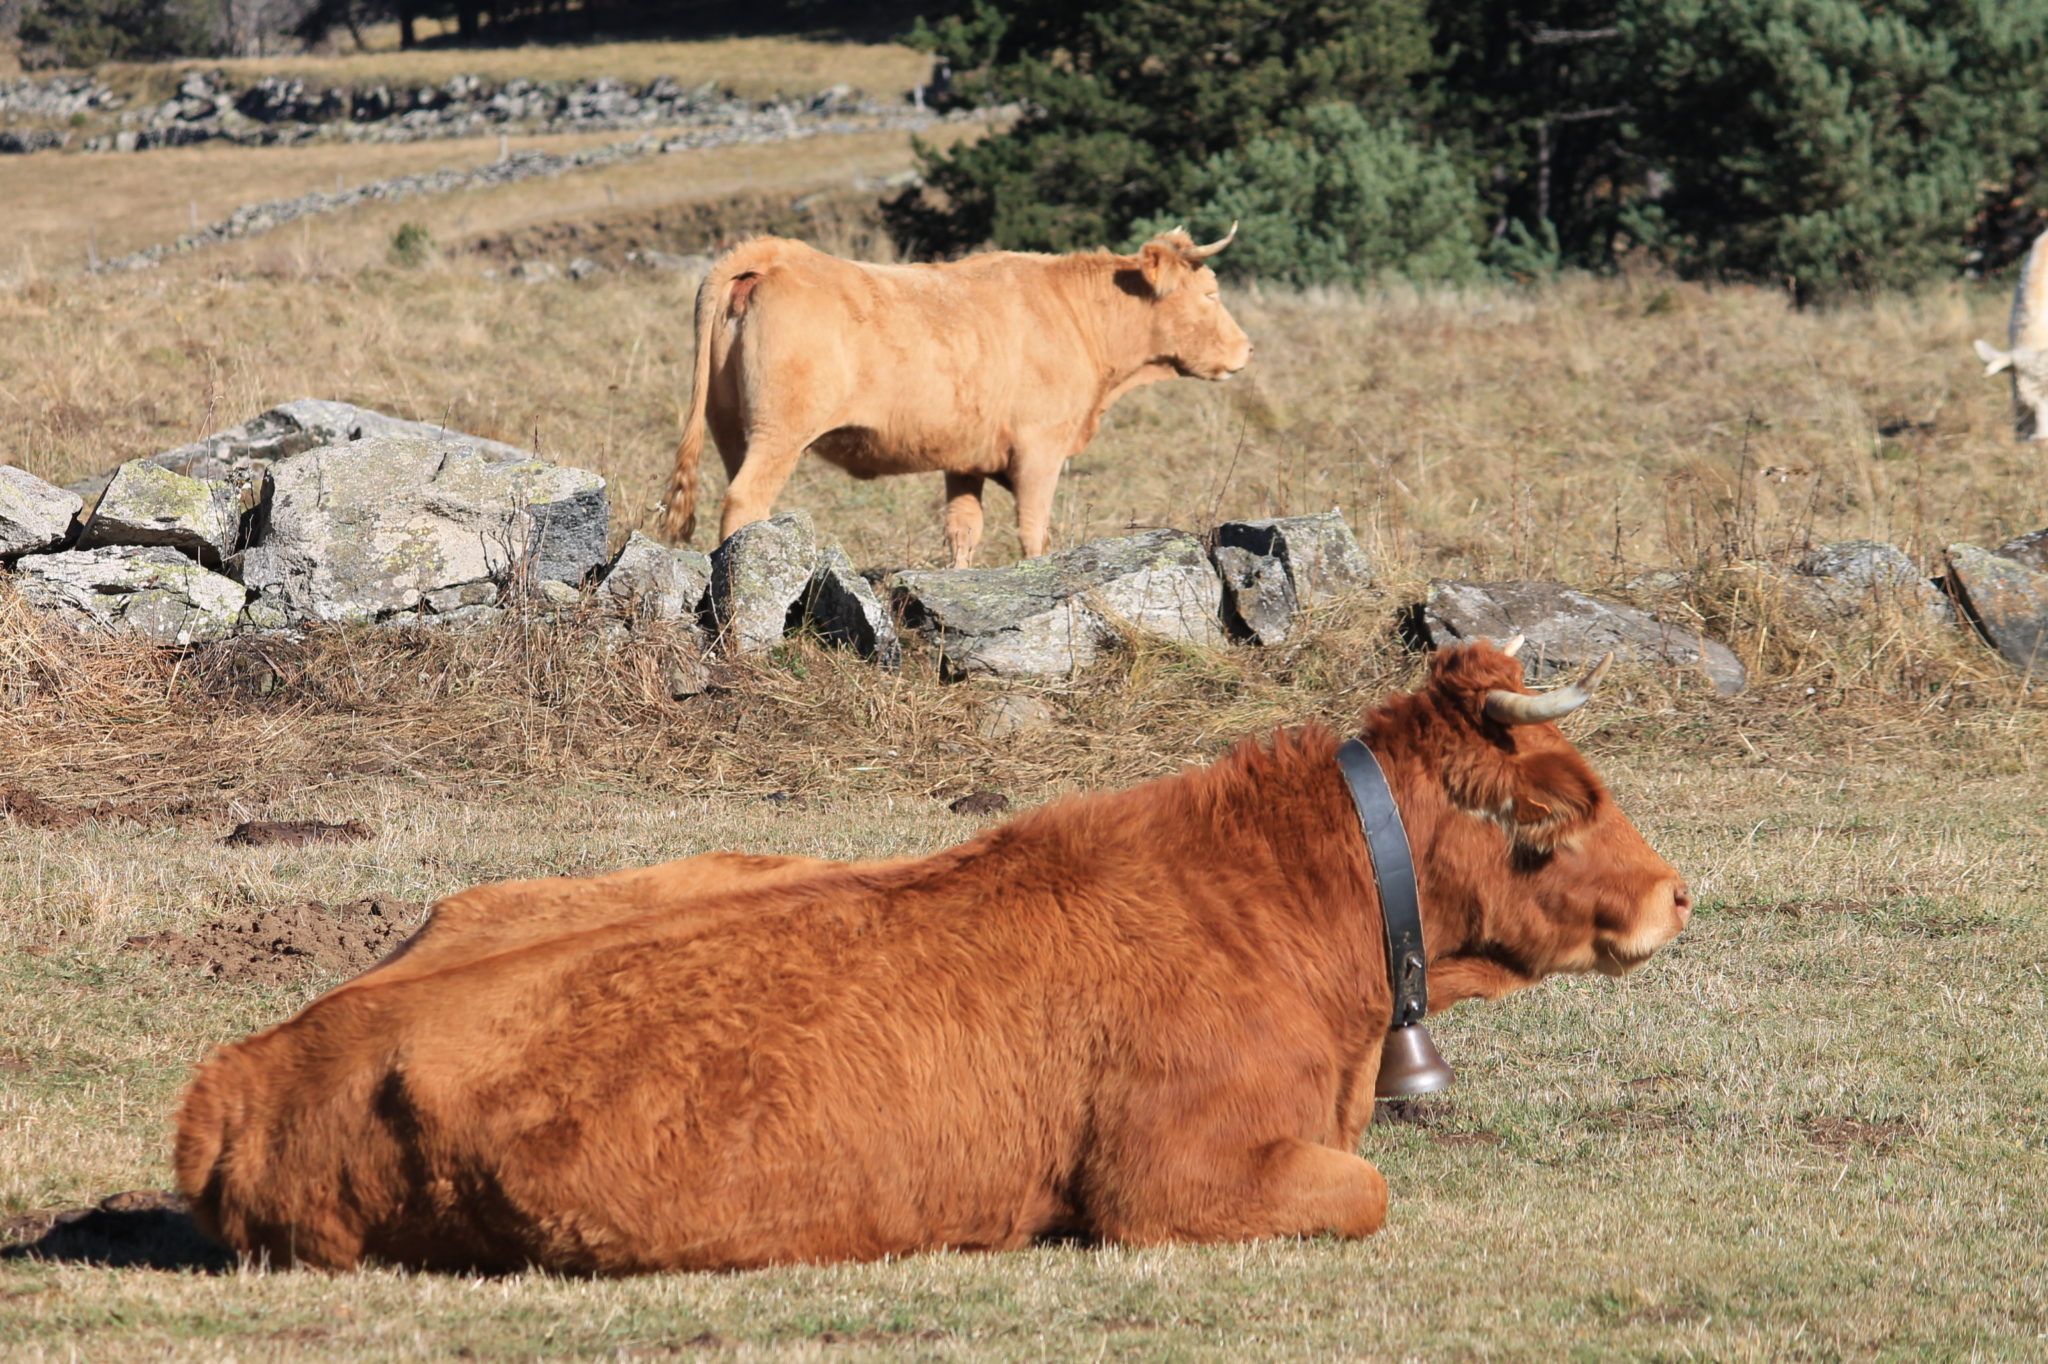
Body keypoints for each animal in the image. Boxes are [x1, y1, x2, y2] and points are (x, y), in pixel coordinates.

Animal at [663, 227, 1253, 561]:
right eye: (1211, 293)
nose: (1246, 349)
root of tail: (775, 255)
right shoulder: (1041, 450)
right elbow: (1033, 532)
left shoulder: (964, 458)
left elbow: (963, 531)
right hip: (779, 433)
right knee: (746, 502)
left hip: (729, 428)